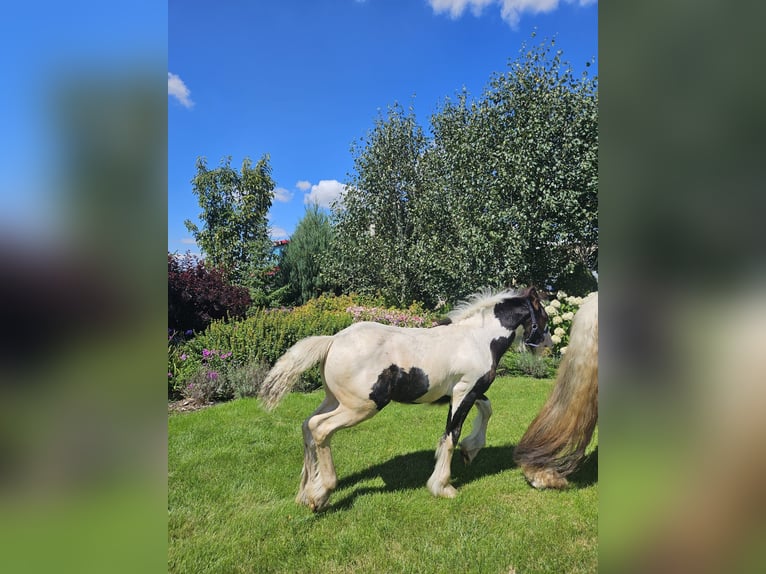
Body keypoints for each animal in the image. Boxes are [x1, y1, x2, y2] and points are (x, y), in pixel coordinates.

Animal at [260, 288, 548, 512]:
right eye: (543, 316)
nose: (548, 344)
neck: (477, 340)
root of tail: (332, 341)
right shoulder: (464, 393)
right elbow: (451, 435)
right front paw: (443, 486)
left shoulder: (469, 392)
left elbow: (486, 409)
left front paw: (471, 450)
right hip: (361, 407)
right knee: (320, 428)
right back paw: (320, 495)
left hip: (334, 400)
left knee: (307, 426)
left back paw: (305, 493)